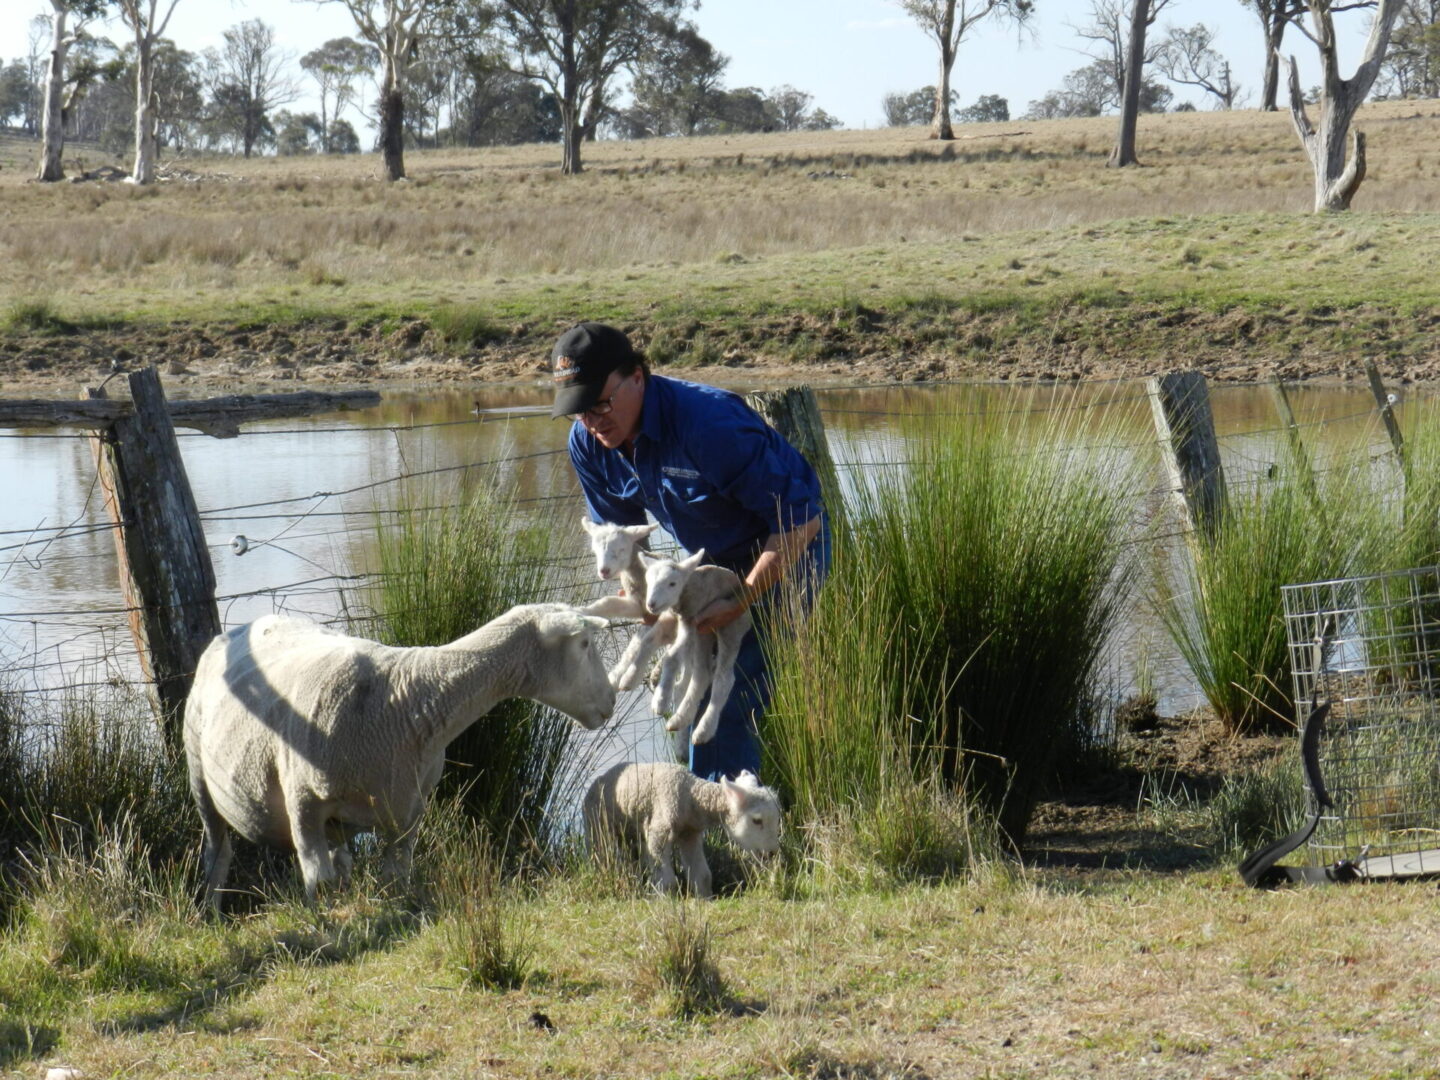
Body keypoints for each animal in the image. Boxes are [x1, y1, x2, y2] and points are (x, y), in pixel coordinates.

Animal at [181, 604, 613, 910]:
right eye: (584, 644)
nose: (610, 701)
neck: (409, 698)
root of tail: (235, 630)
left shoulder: (408, 810)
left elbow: (395, 879)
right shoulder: (303, 802)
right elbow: (317, 883)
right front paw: (327, 931)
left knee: (342, 862)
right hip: (199, 773)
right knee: (217, 854)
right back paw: (211, 914)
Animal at [581, 754, 783, 898]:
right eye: (757, 820)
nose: (772, 853)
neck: (690, 794)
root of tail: (599, 779)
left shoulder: (690, 833)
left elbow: (702, 875)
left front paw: (704, 898)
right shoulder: (659, 830)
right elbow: (667, 879)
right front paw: (664, 899)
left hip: (629, 833)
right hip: (595, 825)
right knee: (599, 855)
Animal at [642, 550, 754, 743]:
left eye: (672, 583)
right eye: (648, 582)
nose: (651, 604)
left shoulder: (692, 620)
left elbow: (672, 658)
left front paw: (660, 700)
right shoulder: (686, 622)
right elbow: (667, 652)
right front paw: (655, 678)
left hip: (730, 625)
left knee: (724, 678)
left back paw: (704, 729)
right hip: (704, 634)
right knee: (702, 673)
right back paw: (681, 718)